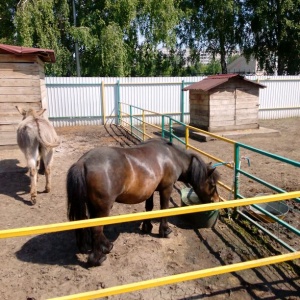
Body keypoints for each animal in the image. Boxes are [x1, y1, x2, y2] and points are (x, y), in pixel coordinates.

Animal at [67, 138, 219, 268]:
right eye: (212, 184)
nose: (216, 200)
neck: (172, 156)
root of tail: (83, 162)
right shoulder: (167, 188)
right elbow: (164, 208)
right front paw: (165, 231)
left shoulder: (150, 191)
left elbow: (149, 208)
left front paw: (147, 227)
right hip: (102, 207)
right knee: (96, 228)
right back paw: (97, 258)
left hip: (93, 206)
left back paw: (106, 246)